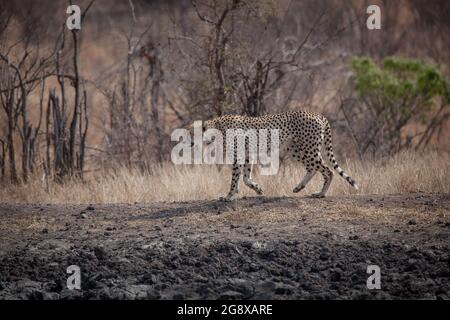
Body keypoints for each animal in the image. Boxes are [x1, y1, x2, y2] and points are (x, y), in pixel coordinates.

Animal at [197, 110, 358, 200]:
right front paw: (257, 189)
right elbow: (245, 178)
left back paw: (321, 193)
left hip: (308, 149)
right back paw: (300, 187)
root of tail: (317, 114)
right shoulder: (248, 155)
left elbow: (236, 178)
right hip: (297, 150)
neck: (217, 127)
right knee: (313, 168)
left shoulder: (240, 155)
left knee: (328, 170)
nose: (194, 143)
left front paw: (229, 196)